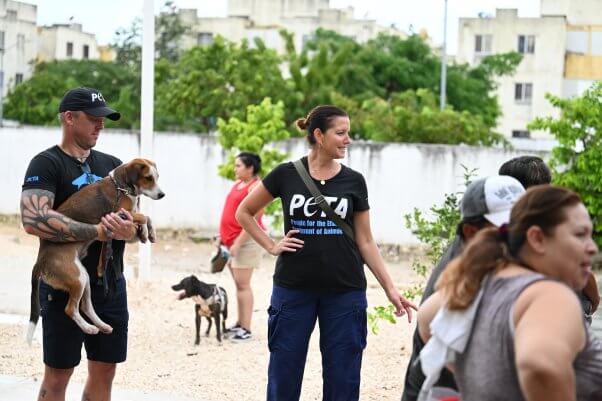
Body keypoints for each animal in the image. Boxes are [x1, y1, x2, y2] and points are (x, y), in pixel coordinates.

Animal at [25, 158, 164, 342]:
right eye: (148, 178)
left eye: (157, 177)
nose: (162, 195)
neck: (120, 186)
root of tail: (40, 261)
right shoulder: (119, 214)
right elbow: (144, 216)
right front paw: (146, 231)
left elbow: (147, 218)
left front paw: (149, 232)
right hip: (76, 278)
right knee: (71, 309)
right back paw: (89, 328)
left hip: (83, 277)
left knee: (86, 307)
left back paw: (102, 326)